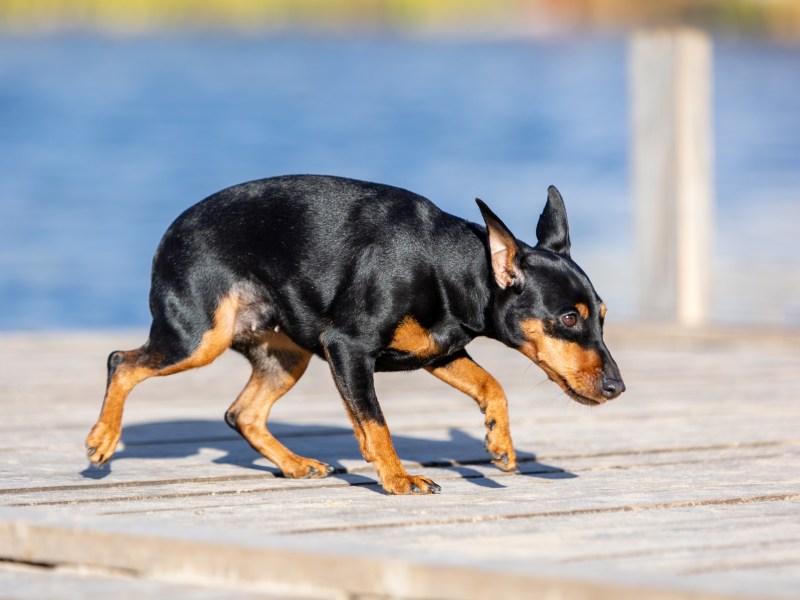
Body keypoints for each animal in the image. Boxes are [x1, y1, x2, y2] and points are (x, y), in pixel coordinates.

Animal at [87, 176, 624, 494]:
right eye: (569, 319)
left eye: (601, 315)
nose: (618, 387)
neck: (447, 264)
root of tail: (170, 233)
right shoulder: (348, 348)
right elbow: (375, 424)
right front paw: (399, 479)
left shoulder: (439, 351)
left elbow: (492, 386)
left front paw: (500, 444)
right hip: (199, 338)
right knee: (121, 361)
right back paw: (102, 440)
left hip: (286, 357)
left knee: (242, 413)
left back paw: (296, 465)